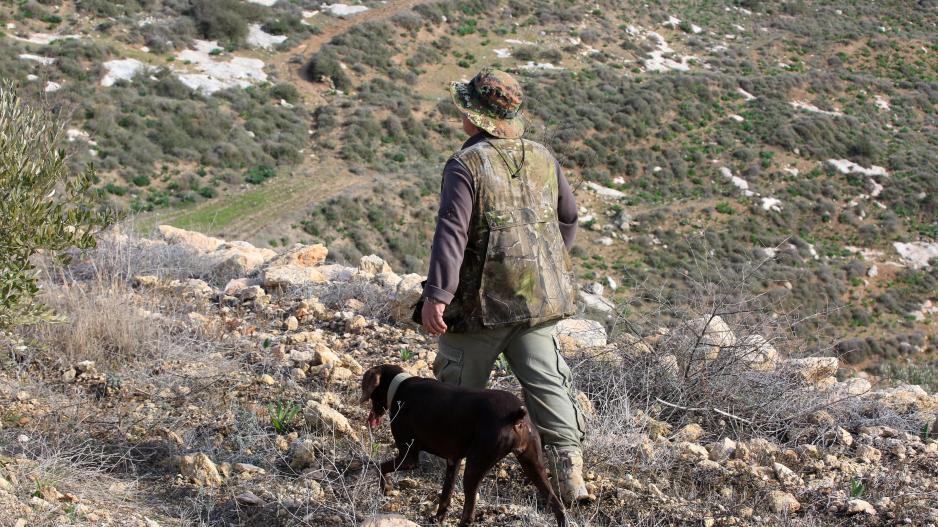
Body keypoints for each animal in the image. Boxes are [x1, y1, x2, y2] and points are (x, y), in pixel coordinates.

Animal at [358, 366, 564, 524]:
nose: (371, 416)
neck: (399, 386)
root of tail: (517, 416)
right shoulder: (453, 460)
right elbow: (445, 495)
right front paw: (438, 518)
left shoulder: (408, 457)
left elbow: (379, 467)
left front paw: (385, 488)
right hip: (533, 465)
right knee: (558, 505)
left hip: (475, 467)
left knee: (469, 514)